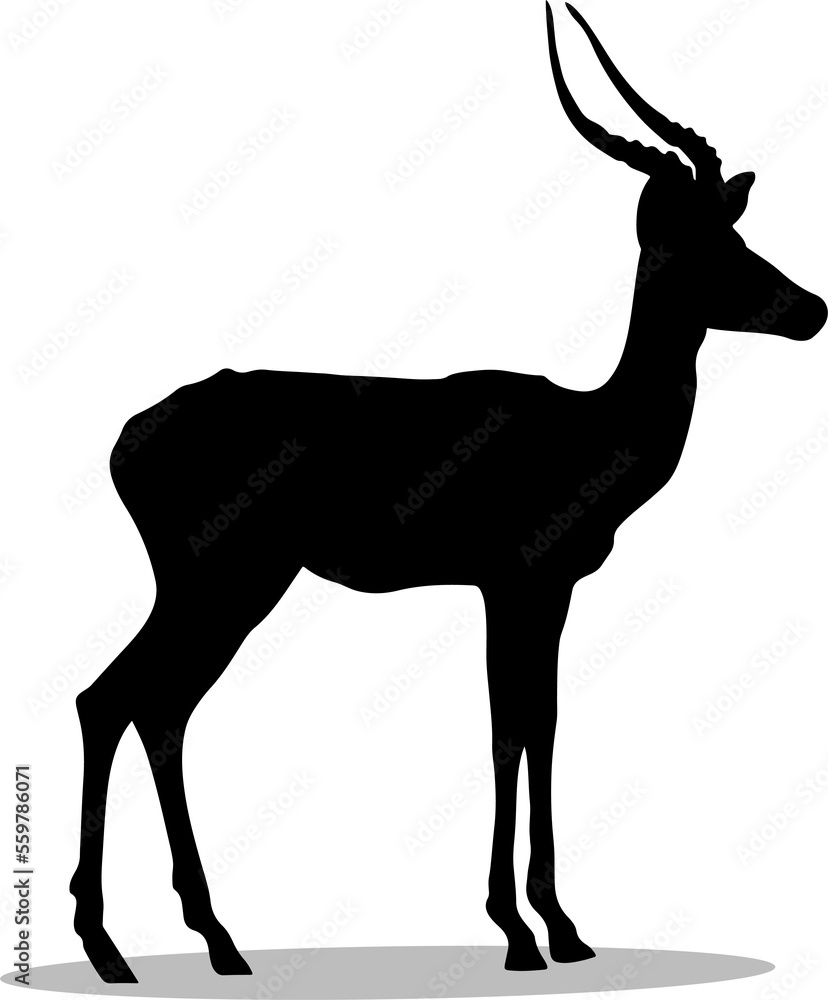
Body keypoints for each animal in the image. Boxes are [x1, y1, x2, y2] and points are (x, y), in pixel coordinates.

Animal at [70, 2, 826, 982]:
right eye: (709, 247)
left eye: (736, 236)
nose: (812, 309)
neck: (590, 425)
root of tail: (132, 433)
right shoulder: (515, 585)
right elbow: (510, 730)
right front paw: (522, 932)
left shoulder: (542, 594)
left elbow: (540, 726)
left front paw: (560, 928)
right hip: (224, 583)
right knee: (119, 701)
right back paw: (118, 946)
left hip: (223, 589)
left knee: (147, 708)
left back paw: (202, 942)